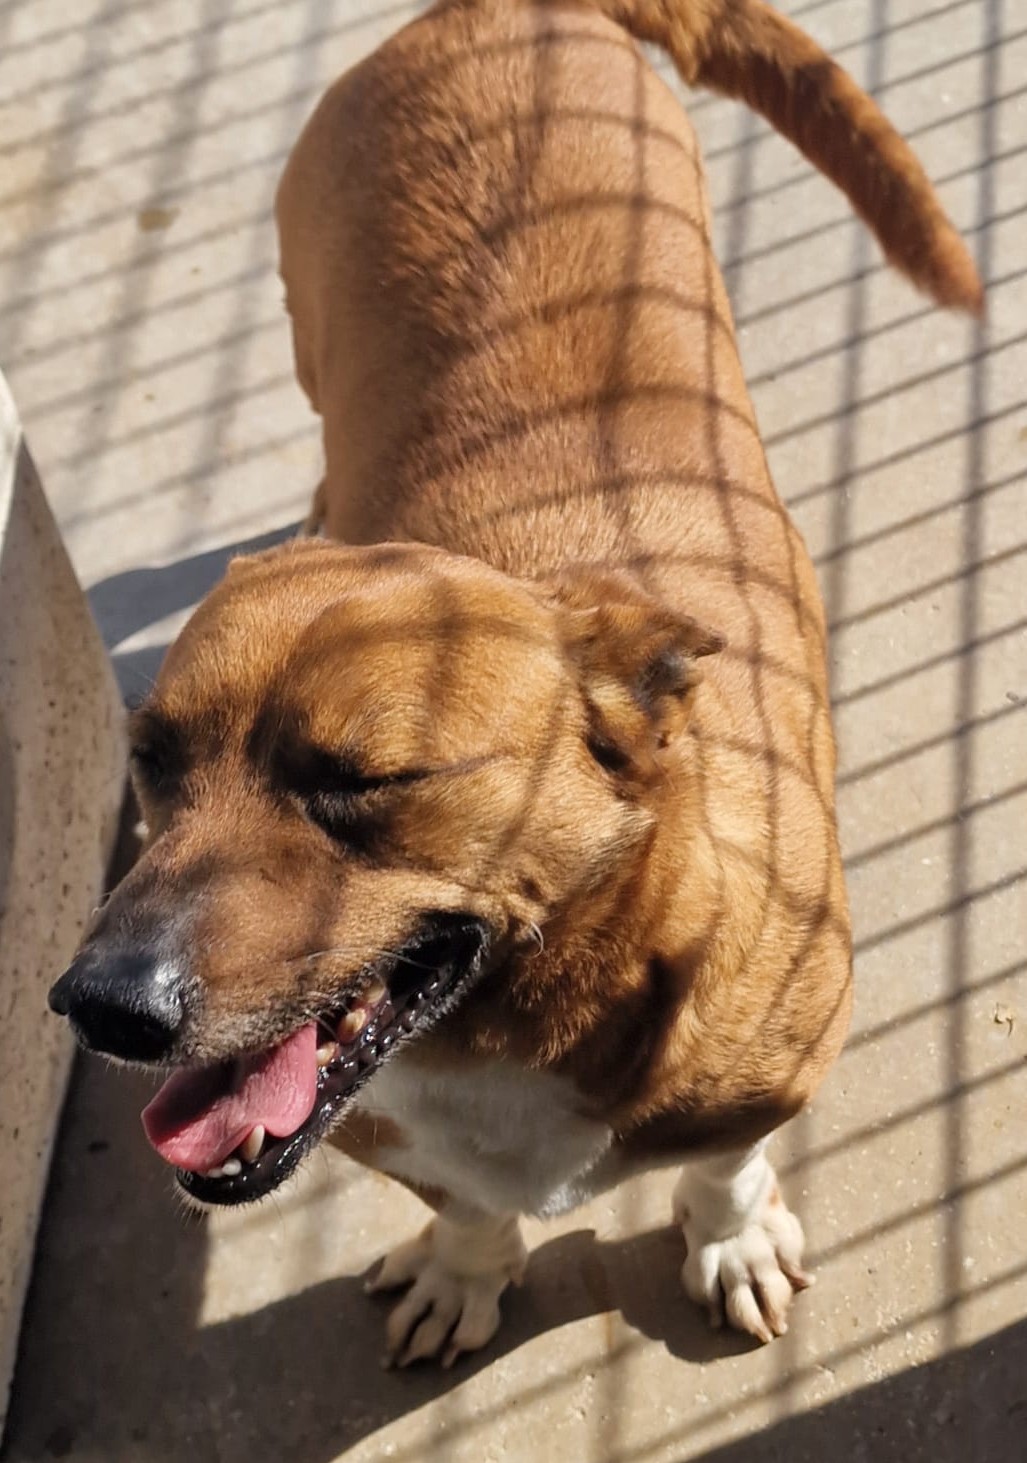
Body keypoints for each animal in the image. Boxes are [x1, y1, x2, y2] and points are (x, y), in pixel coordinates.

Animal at [50, 0, 980, 1368]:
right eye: (150, 760)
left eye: (364, 780)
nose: (97, 1005)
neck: (514, 1021)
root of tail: (494, 10)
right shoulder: (390, 1133)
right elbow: (469, 1208)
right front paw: (466, 1269)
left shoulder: (772, 1079)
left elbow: (724, 1168)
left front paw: (730, 1238)